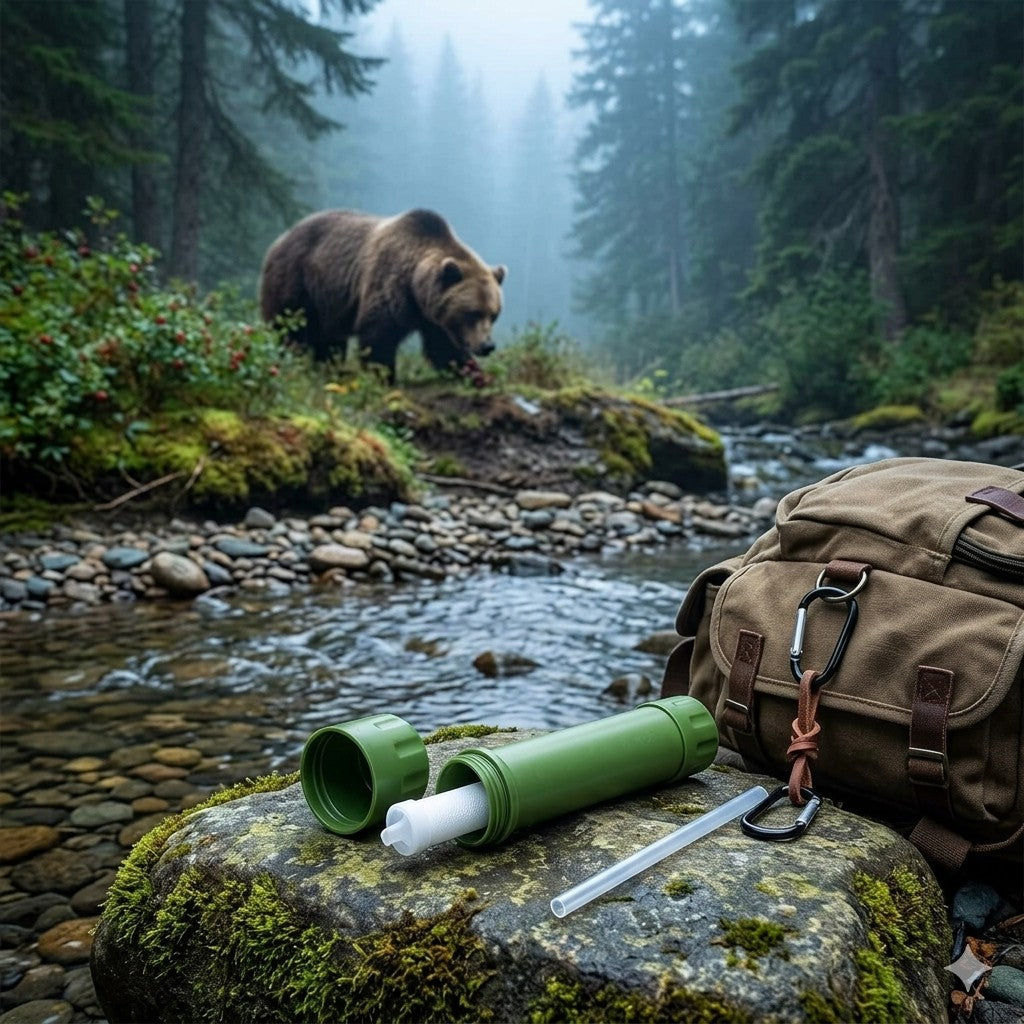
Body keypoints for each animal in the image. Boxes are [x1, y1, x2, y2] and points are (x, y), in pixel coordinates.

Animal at [258, 208, 506, 383]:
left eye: (493, 314)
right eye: (473, 313)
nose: (487, 345)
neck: (415, 288)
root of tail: (281, 238)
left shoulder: (433, 316)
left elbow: (443, 347)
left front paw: (477, 374)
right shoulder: (389, 287)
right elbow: (378, 336)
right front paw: (384, 378)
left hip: (328, 302)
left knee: (329, 339)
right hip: (297, 281)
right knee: (289, 328)